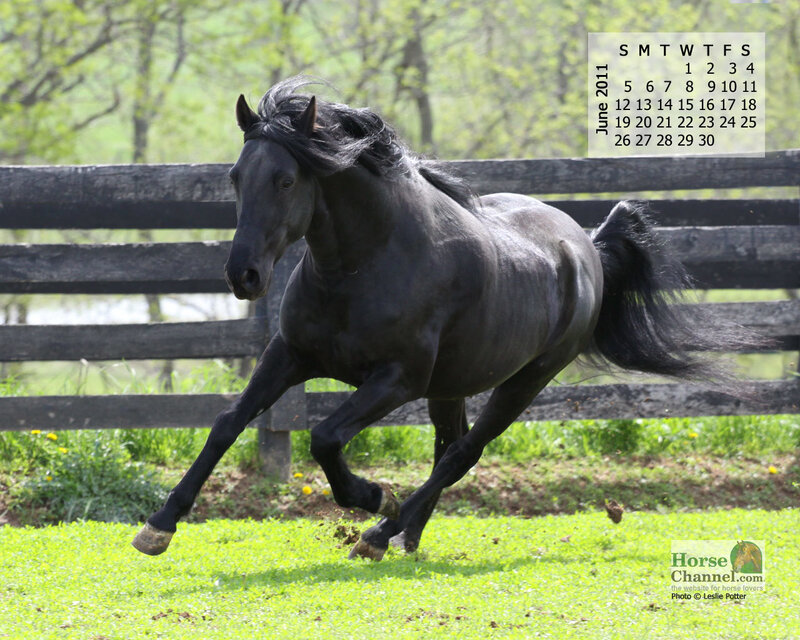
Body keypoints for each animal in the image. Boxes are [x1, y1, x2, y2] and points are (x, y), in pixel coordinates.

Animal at [133, 76, 745, 560]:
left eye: (285, 180)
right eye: (236, 176)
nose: (244, 276)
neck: (362, 266)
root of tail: (587, 247)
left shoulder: (396, 379)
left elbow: (326, 438)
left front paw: (375, 497)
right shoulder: (291, 354)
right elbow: (227, 423)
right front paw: (159, 527)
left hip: (525, 380)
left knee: (463, 452)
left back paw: (380, 533)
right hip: (452, 385)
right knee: (449, 447)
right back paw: (404, 537)